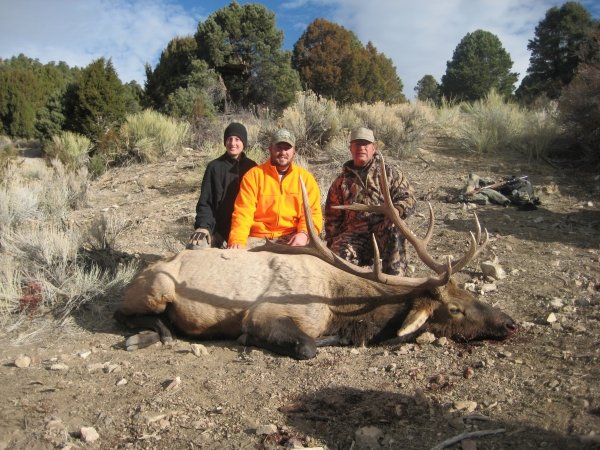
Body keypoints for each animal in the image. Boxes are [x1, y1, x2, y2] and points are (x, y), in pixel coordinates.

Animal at [116, 156, 516, 360]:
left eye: (469, 293)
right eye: (454, 309)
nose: (511, 323)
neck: (340, 302)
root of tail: (136, 277)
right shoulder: (264, 314)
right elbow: (308, 345)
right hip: (156, 288)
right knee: (125, 313)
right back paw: (153, 335)